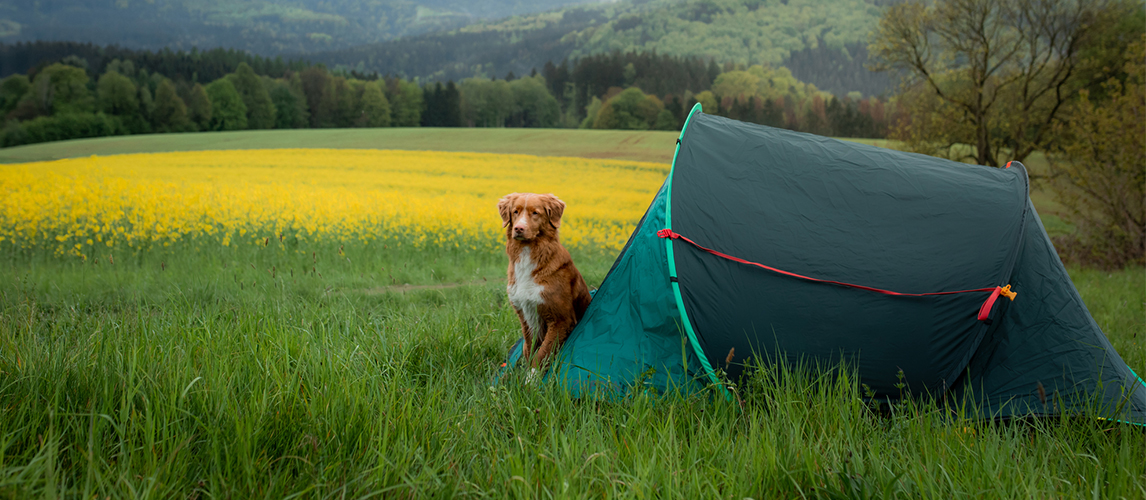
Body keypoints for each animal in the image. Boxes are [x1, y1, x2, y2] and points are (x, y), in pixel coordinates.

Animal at [499, 191, 595, 376]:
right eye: (515, 211)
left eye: (535, 213)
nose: (518, 228)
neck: (529, 252)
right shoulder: (526, 315)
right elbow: (528, 349)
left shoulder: (561, 319)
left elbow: (542, 352)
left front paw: (531, 378)